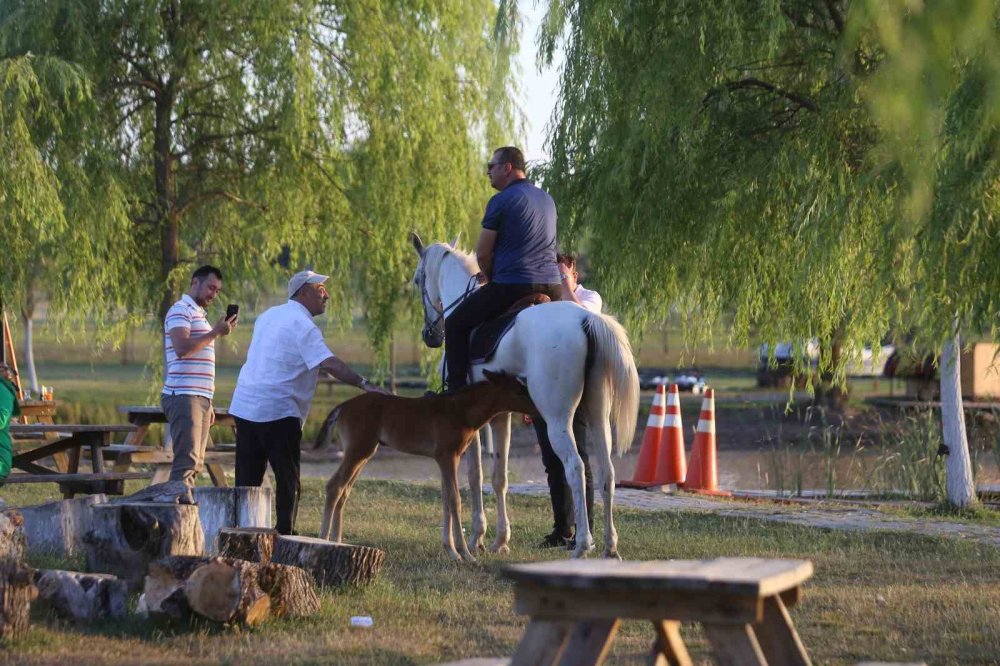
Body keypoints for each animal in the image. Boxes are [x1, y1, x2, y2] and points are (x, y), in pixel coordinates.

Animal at [318, 368, 540, 560]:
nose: (538, 409)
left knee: (344, 489)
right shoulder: (447, 456)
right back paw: (323, 539)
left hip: (365, 452)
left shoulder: (447, 459)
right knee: (334, 486)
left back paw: (336, 542)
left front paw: (451, 552)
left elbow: (446, 498)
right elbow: (454, 499)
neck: (460, 411)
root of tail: (343, 406)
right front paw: (465, 554)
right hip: (358, 450)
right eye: (519, 390)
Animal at [408, 233, 636, 556]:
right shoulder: (500, 416)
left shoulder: (468, 421)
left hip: (558, 420)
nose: (430, 335)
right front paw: (500, 540)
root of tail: (585, 321)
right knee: (607, 473)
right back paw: (609, 547)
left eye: (417, 280)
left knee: (576, 468)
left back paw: (582, 544)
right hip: (597, 415)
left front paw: (477, 537)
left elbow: (475, 475)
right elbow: (499, 477)